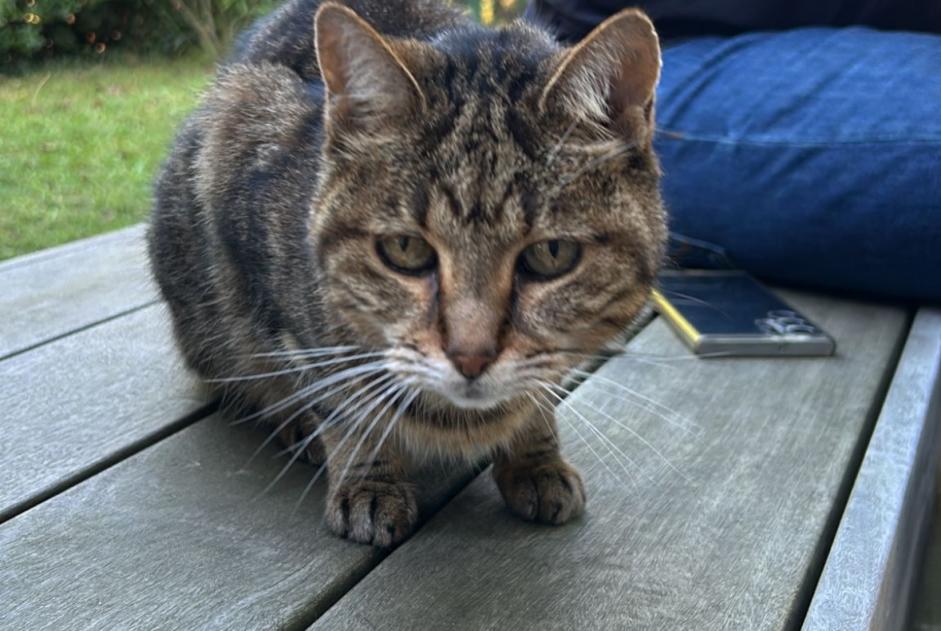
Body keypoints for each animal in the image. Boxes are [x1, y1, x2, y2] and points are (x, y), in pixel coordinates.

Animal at [147, 0, 664, 548]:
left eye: (551, 253)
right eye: (404, 249)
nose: (471, 356)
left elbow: (539, 392)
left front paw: (536, 458)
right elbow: (341, 398)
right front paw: (368, 478)